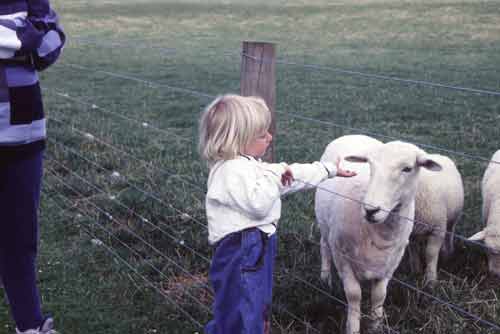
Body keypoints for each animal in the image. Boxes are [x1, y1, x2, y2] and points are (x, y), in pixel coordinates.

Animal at [316, 136, 442, 334]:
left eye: (407, 168)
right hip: (325, 226)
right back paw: (325, 278)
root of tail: (354, 134)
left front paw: (376, 325)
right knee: (324, 246)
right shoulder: (342, 258)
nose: (370, 210)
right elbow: (354, 295)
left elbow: (379, 296)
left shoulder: (390, 264)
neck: (381, 232)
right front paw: (352, 327)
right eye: (371, 165)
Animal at [410, 154, 464, 284]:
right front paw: (416, 271)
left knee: (450, 232)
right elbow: (413, 249)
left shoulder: (438, 229)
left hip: (452, 218)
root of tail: (439, 155)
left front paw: (431, 280)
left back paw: (448, 252)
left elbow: (430, 253)